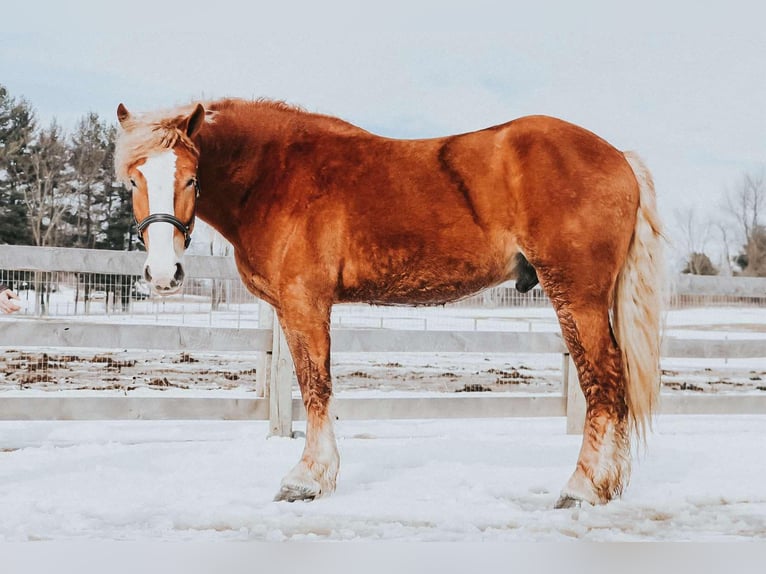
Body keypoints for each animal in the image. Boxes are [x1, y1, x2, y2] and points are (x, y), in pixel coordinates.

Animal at [114, 99, 664, 508]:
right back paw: (608, 486)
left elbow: (315, 387)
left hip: (577, 295)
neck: (277, 173)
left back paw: (582, 488)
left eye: (190, 178)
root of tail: (618, 157)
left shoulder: (305, 303)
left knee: (603, 381)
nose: (162, 275)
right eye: (133, 179)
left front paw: (307, 479)